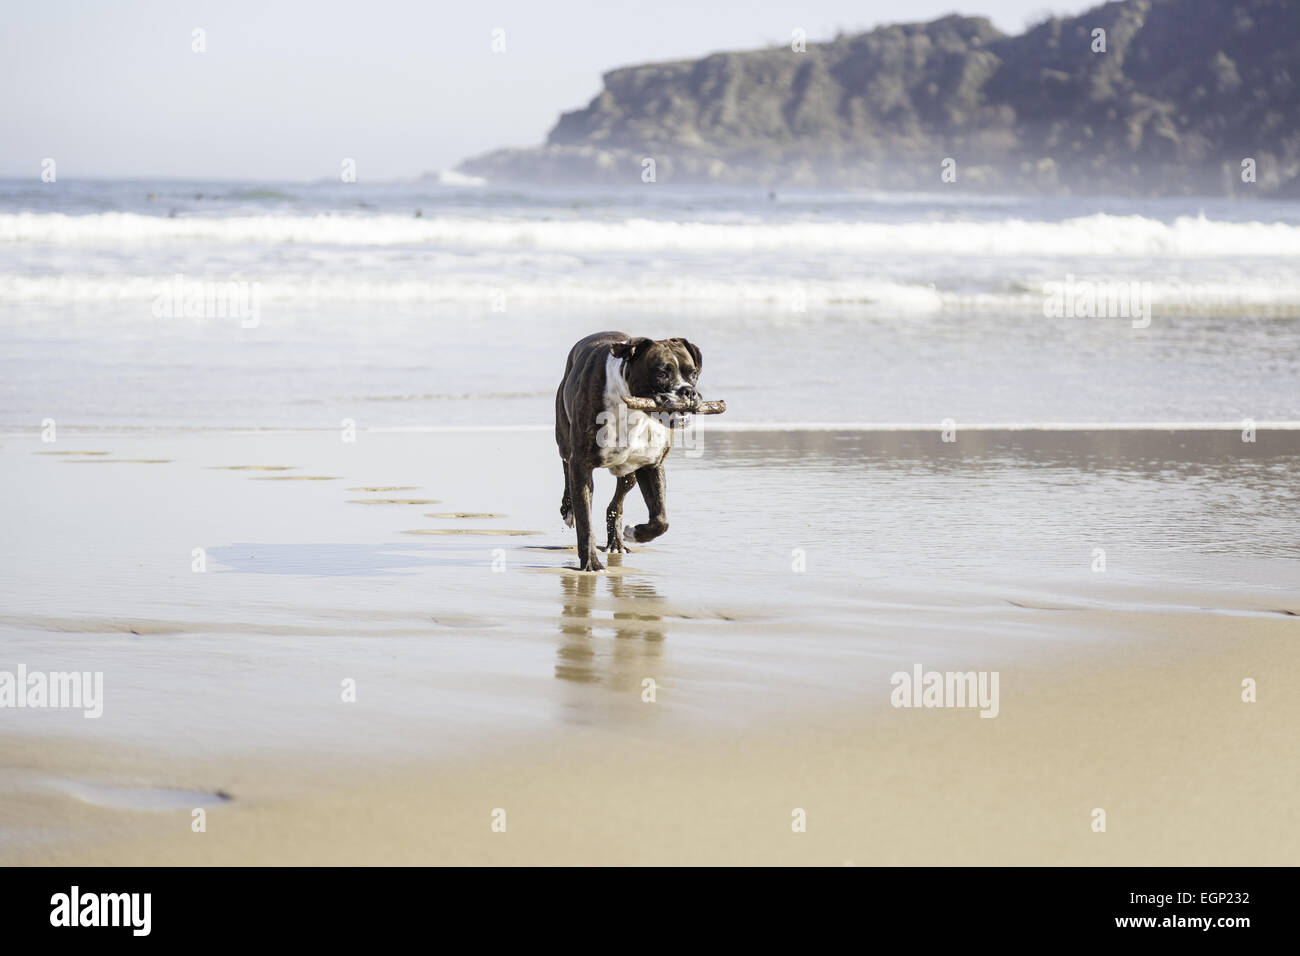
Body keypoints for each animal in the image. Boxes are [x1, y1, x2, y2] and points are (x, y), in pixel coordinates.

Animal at [556, 332, 707, 572]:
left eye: (693, 373)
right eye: (662, 372)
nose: (689, 391)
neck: (634, 411)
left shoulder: (651, 466)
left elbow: (661, 520)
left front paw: (635, 532)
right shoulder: (581, 465)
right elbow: (585, 521)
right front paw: (591, 563)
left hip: (629, 473)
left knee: (616, 504)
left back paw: (616, 542)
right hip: (565, 442)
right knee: (566, 468)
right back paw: (569, 509)